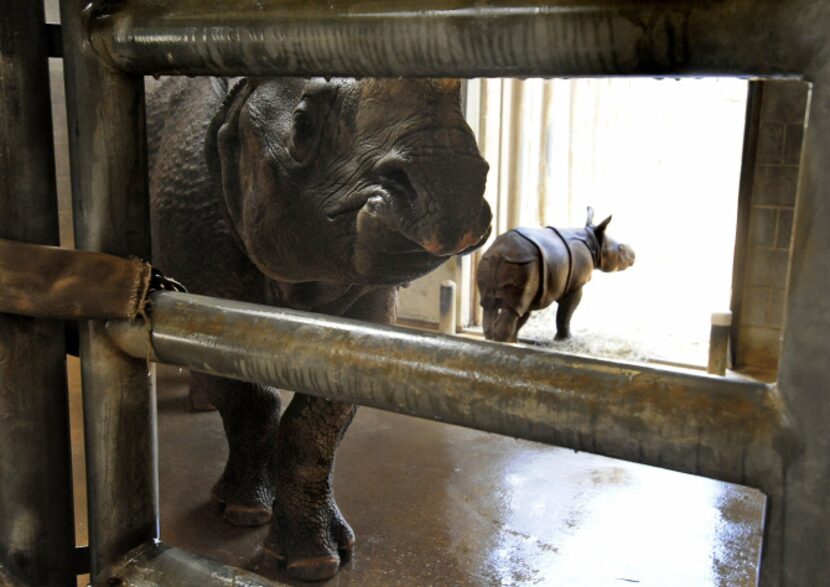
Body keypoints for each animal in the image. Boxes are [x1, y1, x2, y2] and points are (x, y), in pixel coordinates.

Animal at [149, 79, 490, 584]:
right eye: (303, 125)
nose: (452, 187)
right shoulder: (205, 262)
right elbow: (250, 398)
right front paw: (242, 513)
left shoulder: (368, 300)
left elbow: (318, 419)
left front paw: (316, 560)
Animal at [474, 209, 636, 342]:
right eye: (621, 248)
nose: (634, 255)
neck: (594, 242)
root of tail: (500, 253)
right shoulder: (575, 286)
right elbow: (566, 313)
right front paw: (565, 339)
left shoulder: (539, 288)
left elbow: (525, 315)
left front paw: (514, 339)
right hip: (523, 263)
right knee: (513, 308)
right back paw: (502, 341)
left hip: (492, 260)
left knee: (492, 305)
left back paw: (497, 339)